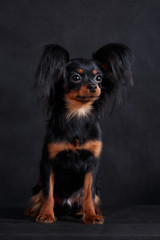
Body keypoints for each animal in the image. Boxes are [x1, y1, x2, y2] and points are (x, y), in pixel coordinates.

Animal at [24, 42, 133, 223]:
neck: (78, 113)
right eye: (75, 77)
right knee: (40, 195)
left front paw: (90, 215)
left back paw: (92, 212)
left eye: (99, 78)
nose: (94, 86)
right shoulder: (48, 163)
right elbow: (48, 193)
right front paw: (46, 214)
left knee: (91, 197)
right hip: (36, 187)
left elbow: (89, 194)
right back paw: (34, 211)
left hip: (95, 191)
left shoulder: (92, 164)